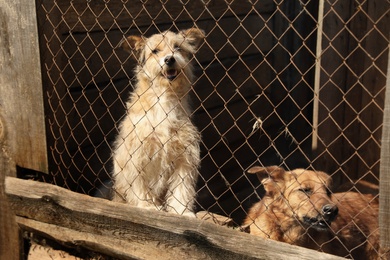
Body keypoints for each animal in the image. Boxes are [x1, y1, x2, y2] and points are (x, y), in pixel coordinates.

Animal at [110, 27, 204, 216]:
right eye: (155, 51)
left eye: (177, 47)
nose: (169, 59)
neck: (164, 98)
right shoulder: (137, 154)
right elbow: (140, 184)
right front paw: (147, 205)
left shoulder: (184, 157)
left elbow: (182, 188)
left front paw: (182, 211)